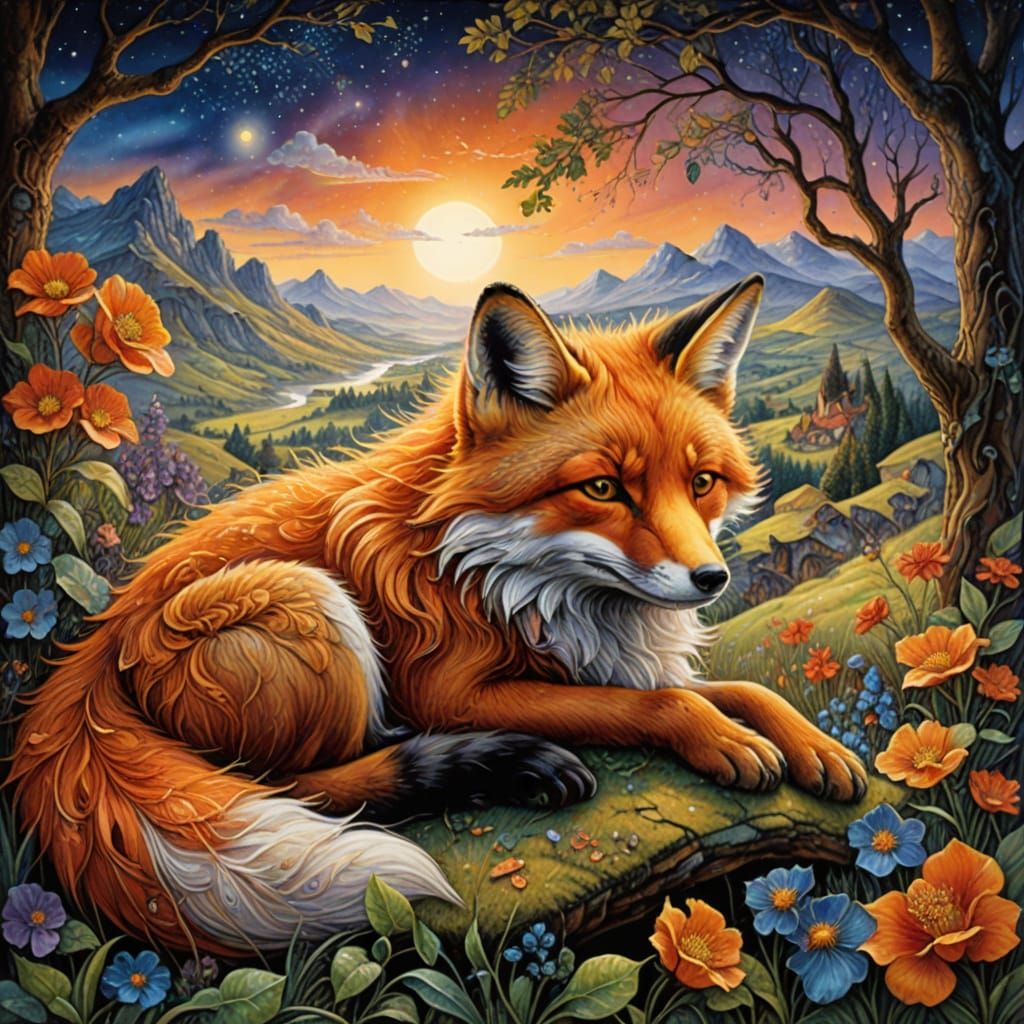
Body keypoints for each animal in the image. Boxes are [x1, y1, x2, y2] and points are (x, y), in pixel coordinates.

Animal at [10, 272, 867, 955]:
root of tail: (95, 649)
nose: (711, 578)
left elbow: (737, 690)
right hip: (311, 604)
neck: (509, 575)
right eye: (602, 489)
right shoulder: (450, 690)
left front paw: (814, 747)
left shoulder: (604, 658)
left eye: (702, 482)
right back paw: (472, 762)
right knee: (300, 785)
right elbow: (660, 705)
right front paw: (721, 738)